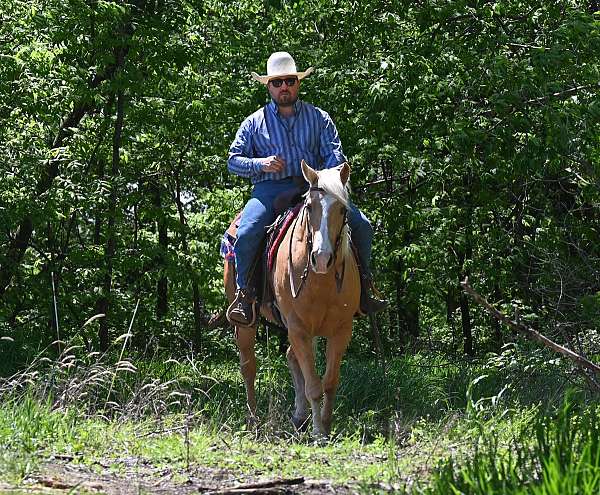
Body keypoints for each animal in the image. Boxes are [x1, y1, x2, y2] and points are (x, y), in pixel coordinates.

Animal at [223, 161, 358, 440]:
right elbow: (314, 385)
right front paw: (318, 433)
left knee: (290, 357)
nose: (321, 258)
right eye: (309, 207)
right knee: (248, 367)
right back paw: (253, 420)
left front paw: (325, 424)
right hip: (246, 325)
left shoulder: (341, 330)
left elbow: (329, 382)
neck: (320, 280)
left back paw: (299, 416)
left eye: (342, 208)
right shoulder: (298, 328)